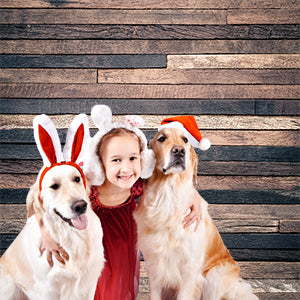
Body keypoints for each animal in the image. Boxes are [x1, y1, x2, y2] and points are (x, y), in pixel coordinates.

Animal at [0, 114, 105, 300]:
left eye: (77, 179)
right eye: (54, 186)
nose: (80, 206)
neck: (73, 236)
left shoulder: (89, 284)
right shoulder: (47, 289)